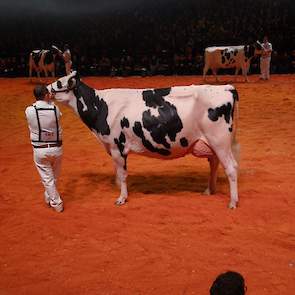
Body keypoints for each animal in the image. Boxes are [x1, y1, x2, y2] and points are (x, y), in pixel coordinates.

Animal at [48, 72, 242, 208]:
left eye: (59, 82)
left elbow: (123, 174)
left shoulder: (117, 146)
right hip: (213, 143)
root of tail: (226, 87)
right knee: (215, 163)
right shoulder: (112, 146)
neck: (102, 106)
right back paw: (209, 190)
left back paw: (232, 202)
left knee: (231, 168)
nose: (43, 88)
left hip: (220, 141)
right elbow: (118, 172)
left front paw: (121, 198)